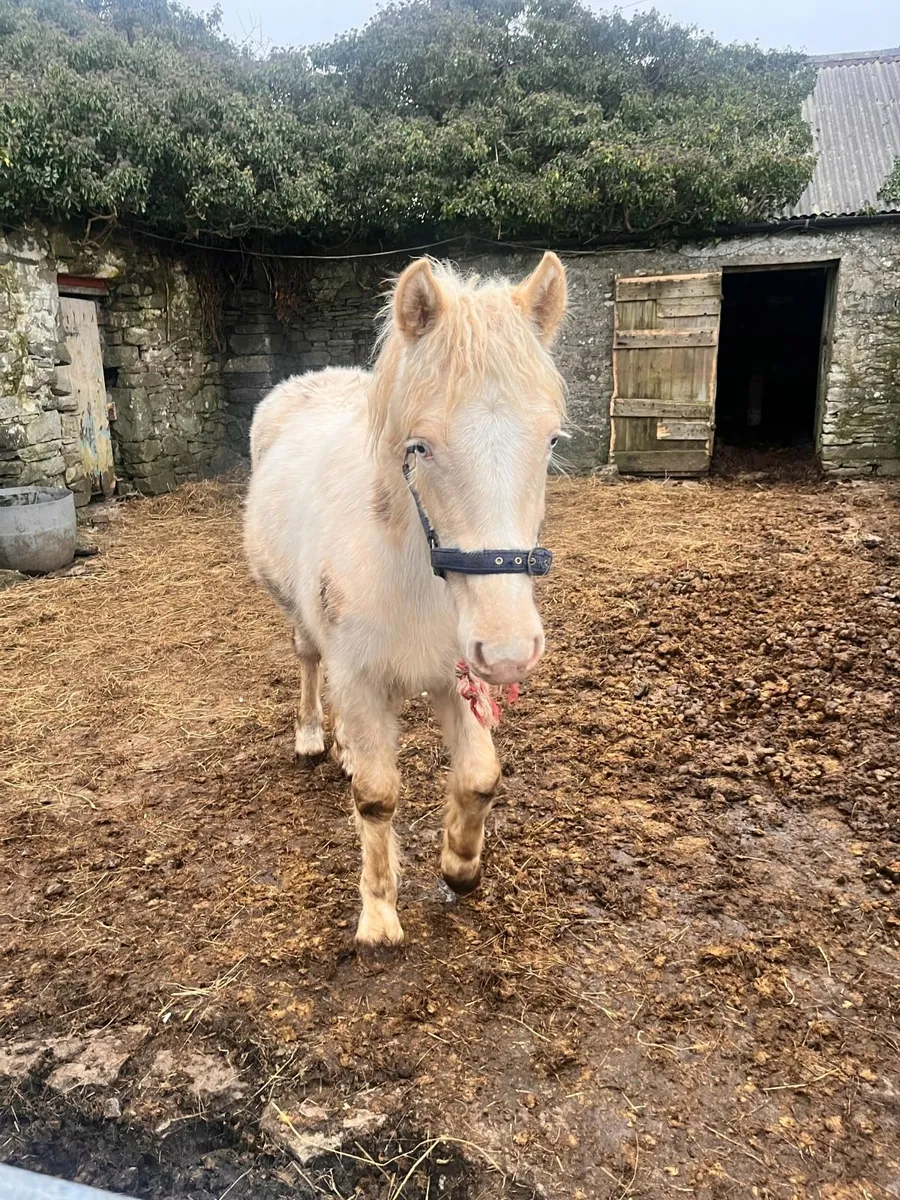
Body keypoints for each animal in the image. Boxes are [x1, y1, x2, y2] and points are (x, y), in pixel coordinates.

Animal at [243, 253, 567, 946]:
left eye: (551, 441)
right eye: (419, 446)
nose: (509, 650)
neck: (416, 574)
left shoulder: (458, 673)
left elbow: (478, 777)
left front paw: (460, 865)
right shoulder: (361, 676)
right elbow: (376, 797)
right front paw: (379, 916)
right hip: (300, 618)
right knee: (309, 660)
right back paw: (313, 736)